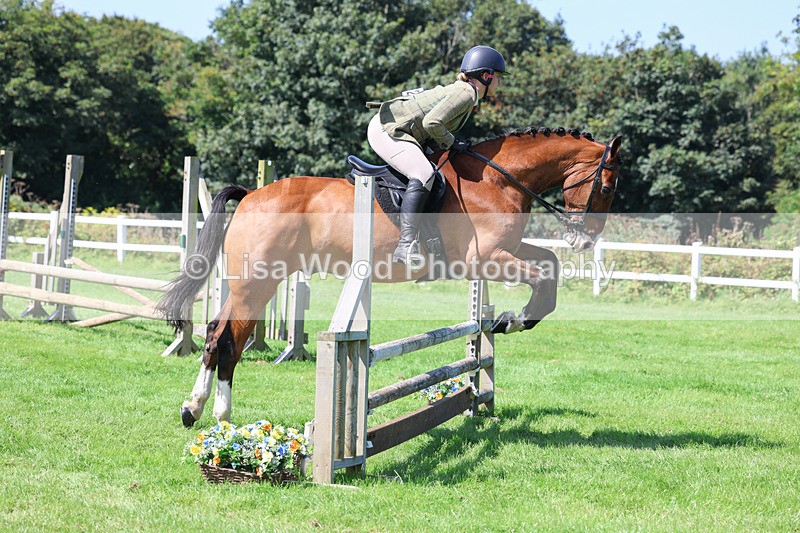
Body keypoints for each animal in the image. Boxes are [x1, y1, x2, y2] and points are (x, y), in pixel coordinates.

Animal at [158, 127, 623, 427]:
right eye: (608, 186)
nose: (585, 240)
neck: (498, 180)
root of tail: (253, 194)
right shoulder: (484, 258)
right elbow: (543, 279)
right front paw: (514, 319)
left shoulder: (505, 251)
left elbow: (551, 266)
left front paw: (508, 319)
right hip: (257, 282)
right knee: (226, 340)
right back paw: (214, 415)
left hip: (255, 282)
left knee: (218, 334)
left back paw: (198, 410)